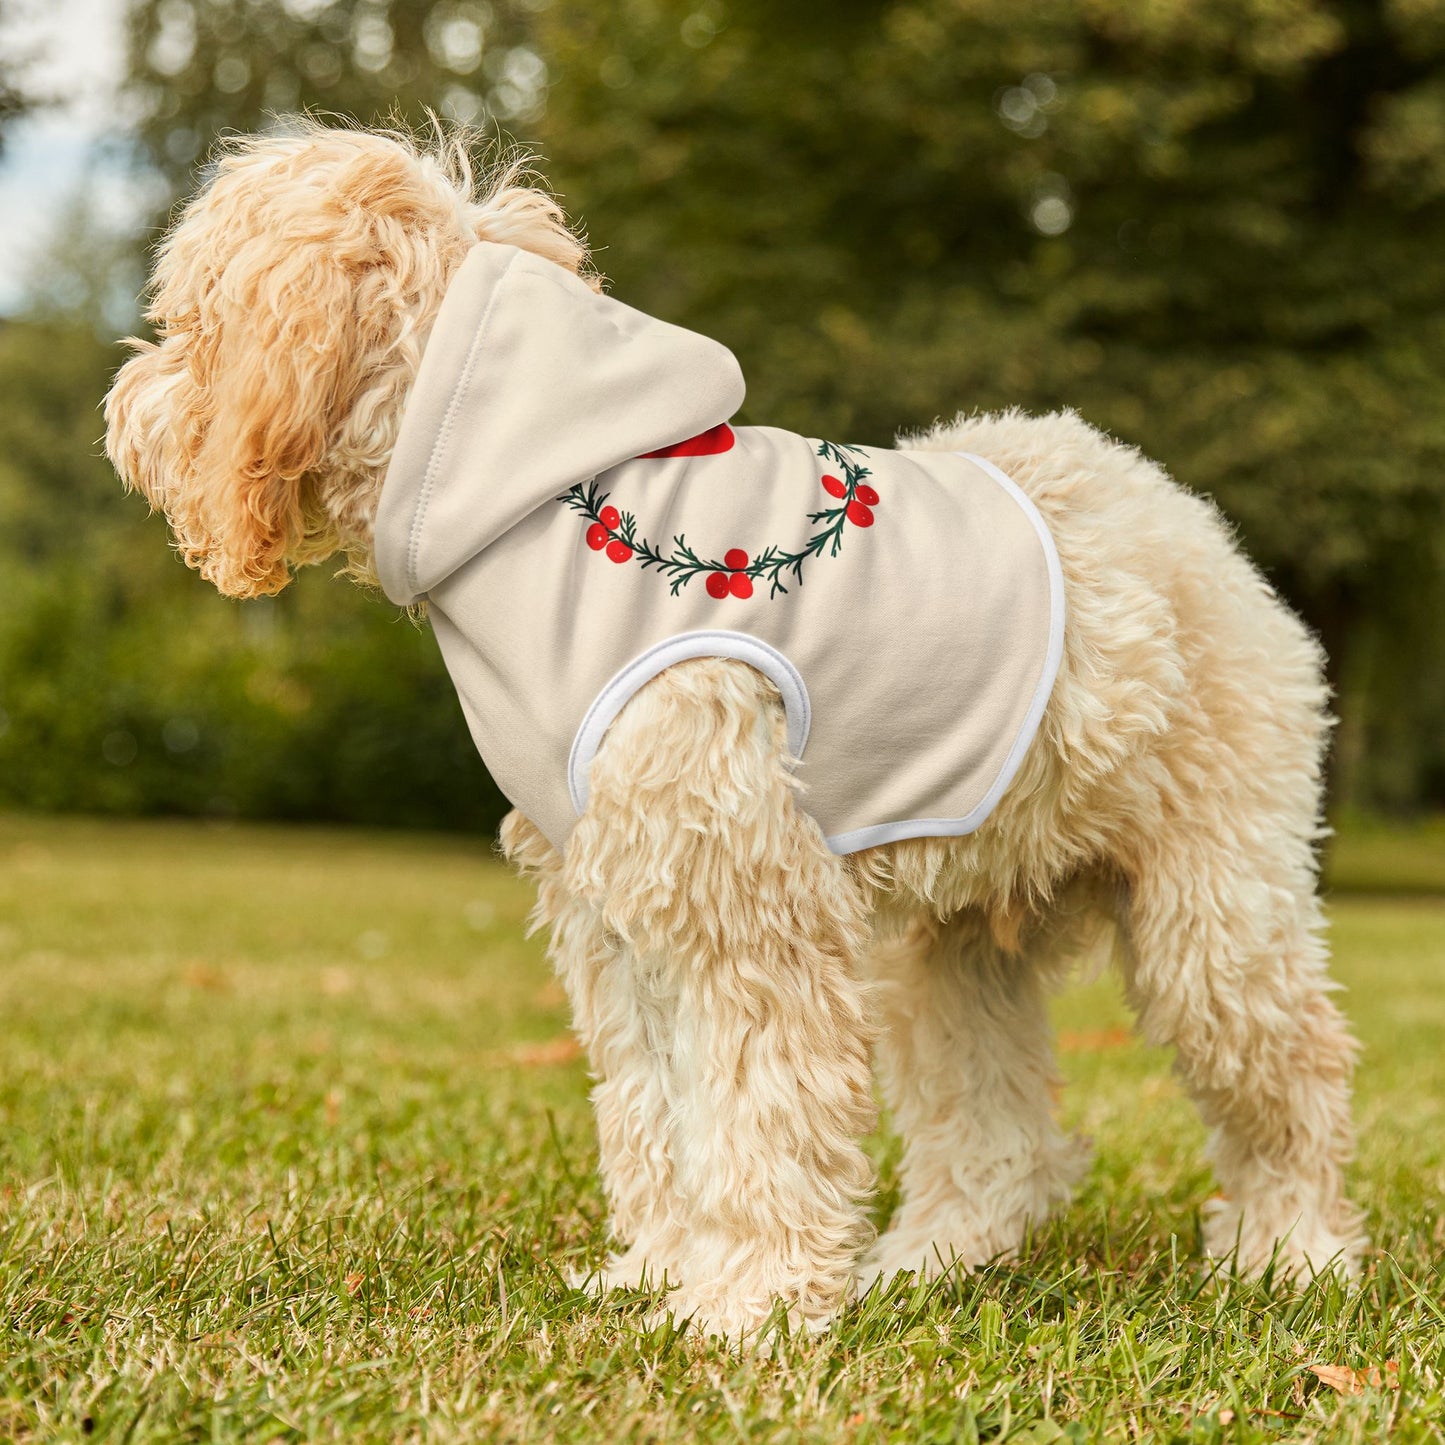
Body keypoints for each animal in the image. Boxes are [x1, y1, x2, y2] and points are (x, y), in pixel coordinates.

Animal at [106, 124, 1358, 1340]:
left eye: (189, 321)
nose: (123, 407)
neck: (525, 494)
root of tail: (1181, 516)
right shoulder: (617, 908)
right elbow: (655, 1109)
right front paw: (660, 1272)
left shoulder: (744, 904)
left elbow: (758, 1111)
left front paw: (745, 1304)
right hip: (952, 945)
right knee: (996, 1131)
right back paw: (931, 1260)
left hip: (1212, 912)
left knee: (1292, 1072)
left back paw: (1290, 1252)